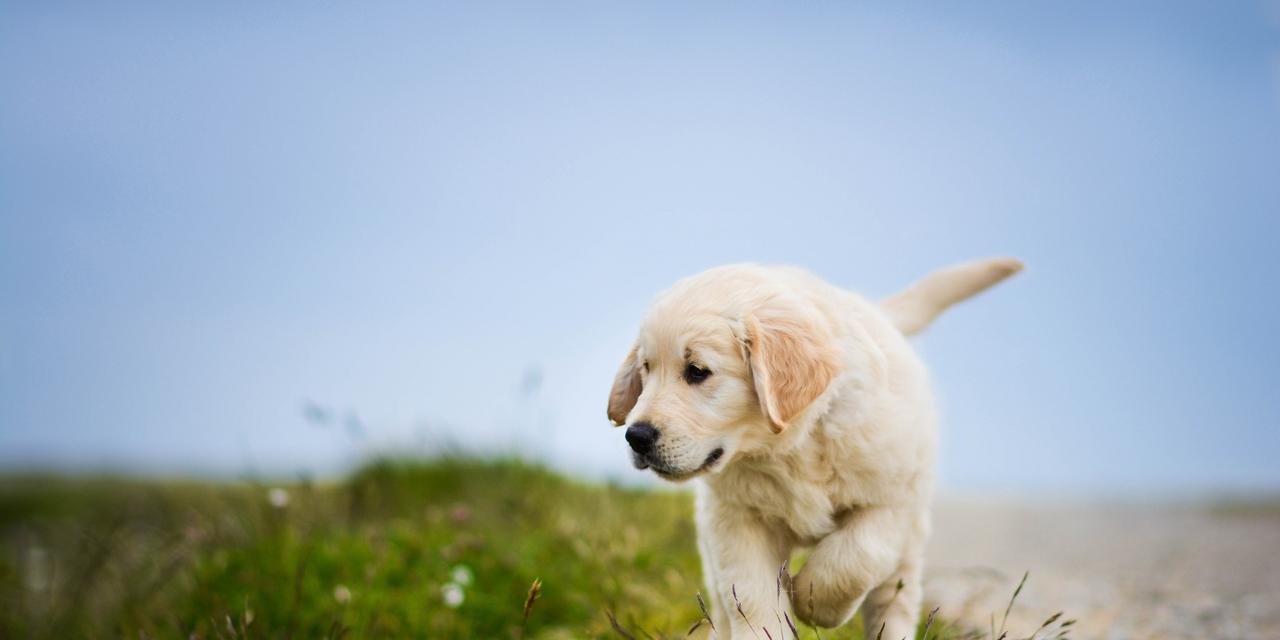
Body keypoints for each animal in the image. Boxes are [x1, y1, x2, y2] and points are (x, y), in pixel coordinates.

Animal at [606, 257, 1018, 640]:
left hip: (910, 542)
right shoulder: (734, 518)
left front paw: (813, 600)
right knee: (722, 608)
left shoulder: (893, 501)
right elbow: (752, 596)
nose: (636, 436)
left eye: (697, 371)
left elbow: (856, 556)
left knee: (894, 598)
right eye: (646, 369)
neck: (792, 446)